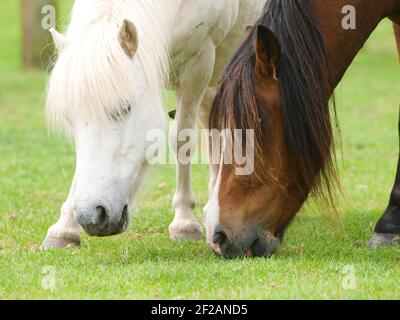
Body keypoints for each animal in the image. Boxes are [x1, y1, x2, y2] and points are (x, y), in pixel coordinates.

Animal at [42, 0, 266, 249]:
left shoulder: (200, 60)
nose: (91, 216)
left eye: (123, 108)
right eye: (70, 119)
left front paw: (184, 222)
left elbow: (182, 139)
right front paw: (64, 228)